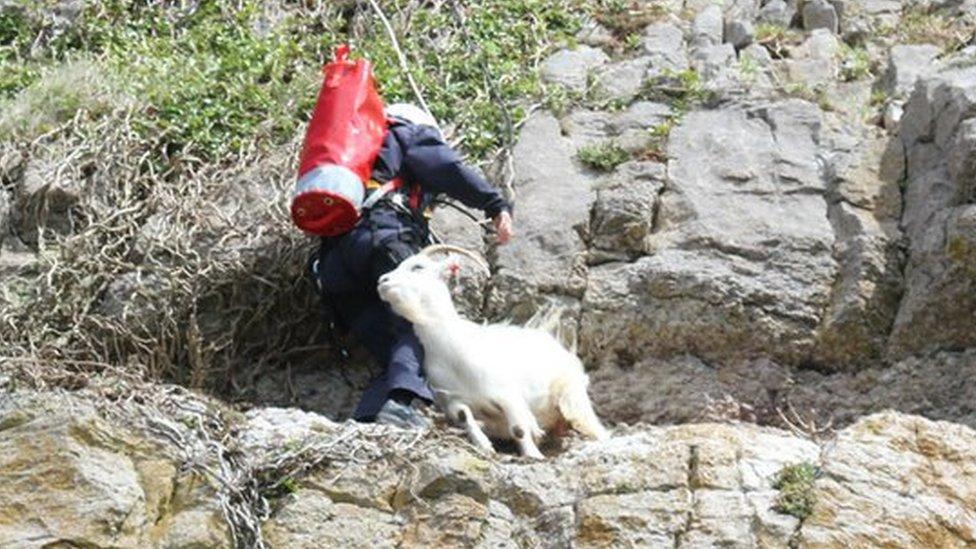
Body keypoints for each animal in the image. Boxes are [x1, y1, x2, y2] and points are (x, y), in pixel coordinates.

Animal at [376, 245, 608, 458]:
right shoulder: (452, 398)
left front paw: (533, 455)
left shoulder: (507, 393)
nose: (382, 281)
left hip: (571, 396)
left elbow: (519, 427)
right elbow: (464, 416)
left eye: (418, 266)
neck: (450, 348)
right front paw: (484, 445)